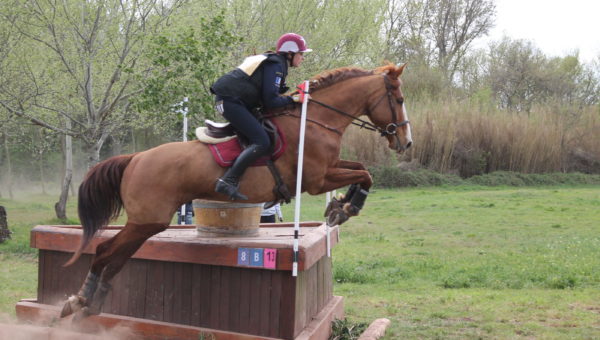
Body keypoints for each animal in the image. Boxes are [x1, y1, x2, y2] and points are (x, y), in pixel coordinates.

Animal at [59, 63, 412, 318]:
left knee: (115, 258)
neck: (316, 120)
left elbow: (362, 170)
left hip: (145, 223)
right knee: (106, 252)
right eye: (399, 100)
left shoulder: (330, 169)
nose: (406, 143)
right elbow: (365, 175)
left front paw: (339, 207)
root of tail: (135, 158)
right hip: (147, 221)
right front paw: (347, 207)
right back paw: (82, 301)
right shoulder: (317, 180)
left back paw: (87, 303)